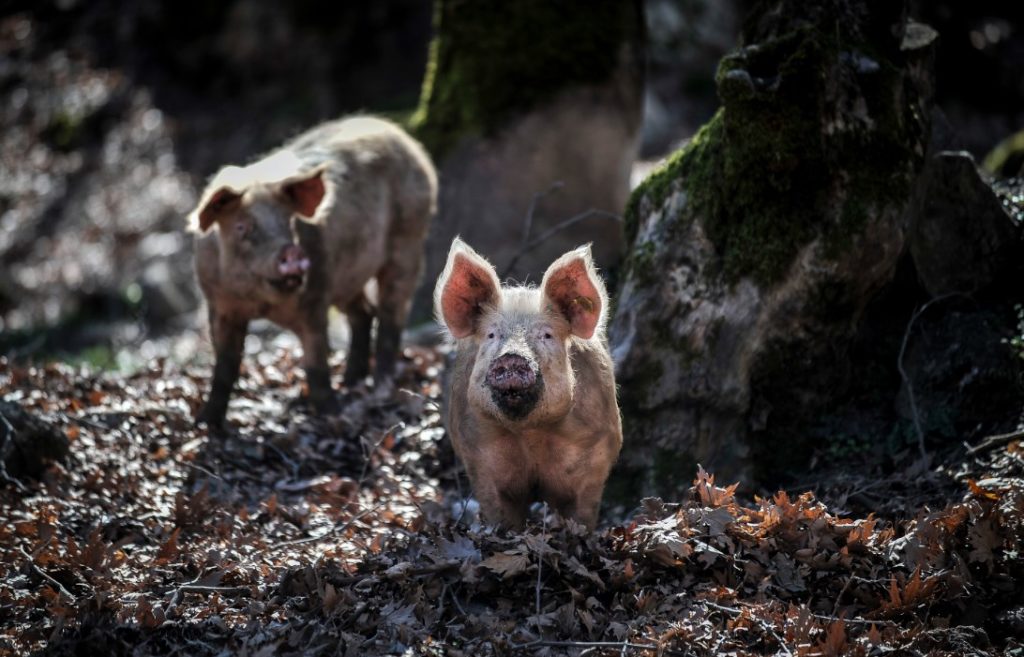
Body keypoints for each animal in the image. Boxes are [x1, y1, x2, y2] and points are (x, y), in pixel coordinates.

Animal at [190, 115, 438, 427]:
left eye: (289, 222)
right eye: (241, 226)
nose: (291, 251)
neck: (260, 303)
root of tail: (404, 138)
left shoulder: (315, 298)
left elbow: (317, 363)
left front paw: (333, 416)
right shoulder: (219, 306)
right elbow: (225, 365)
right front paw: (205, 424)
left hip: (409, 242)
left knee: (391, 316)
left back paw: (379, 388)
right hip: (349, 277)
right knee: (364, 313)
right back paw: (351, 381)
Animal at [434, 235, 622, 528]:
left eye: (546, 335)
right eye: (491, 335)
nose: (512, 357)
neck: (530, 433)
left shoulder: (595, 456)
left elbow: (582, 515)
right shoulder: (480, 460)